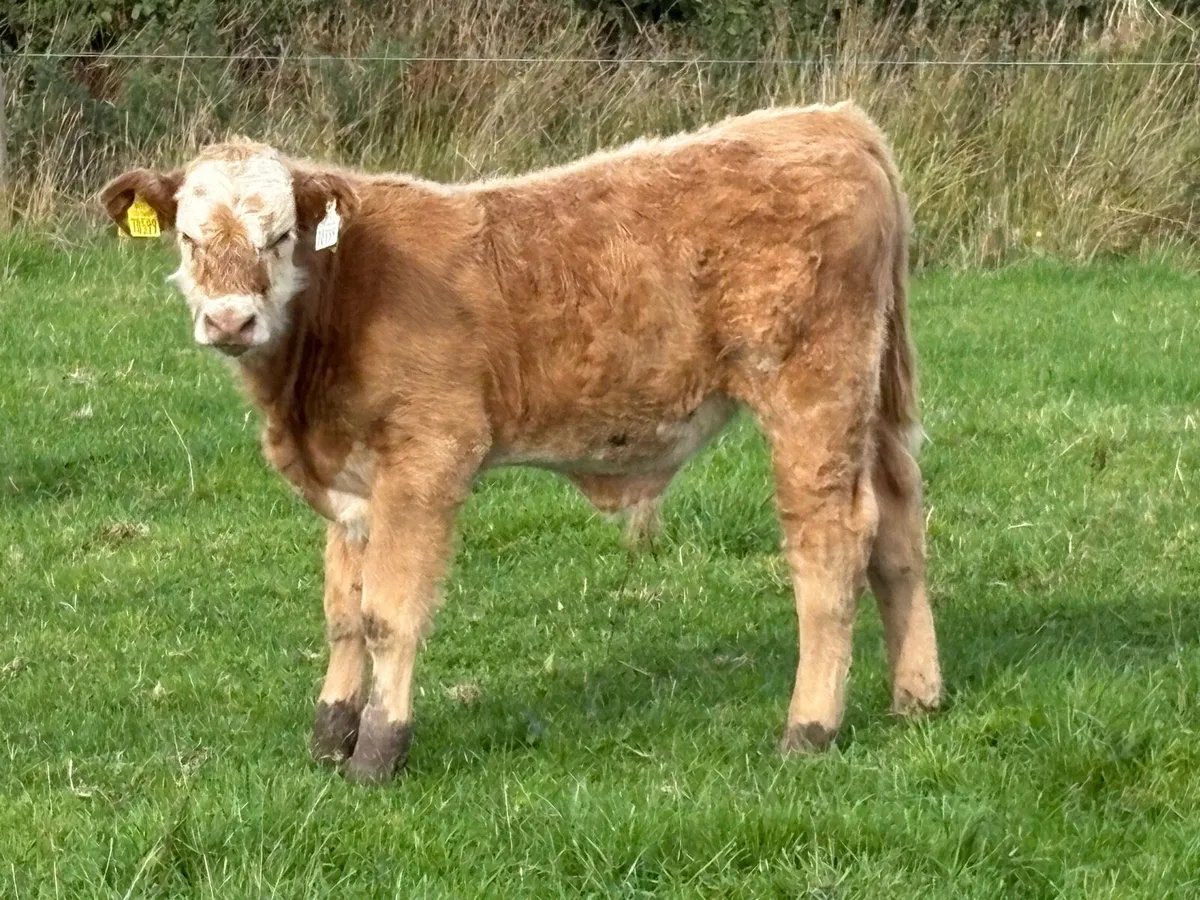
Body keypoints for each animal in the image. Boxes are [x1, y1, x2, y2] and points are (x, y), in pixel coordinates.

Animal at [100, 101, 942, 783]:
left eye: (280, 238)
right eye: (186, 237)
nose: (230, 320)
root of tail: (828, 120)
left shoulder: (428, 459)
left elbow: (389, 614)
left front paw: (379, 749)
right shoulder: (350, 485)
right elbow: (343, 611)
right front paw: (331, 732)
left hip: (812, 393)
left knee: (833, 542)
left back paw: (810, 727)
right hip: (869, 403)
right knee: (899, 526)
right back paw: (917, 696)